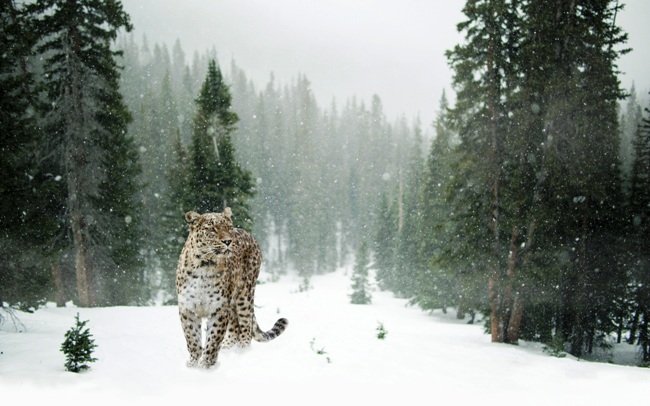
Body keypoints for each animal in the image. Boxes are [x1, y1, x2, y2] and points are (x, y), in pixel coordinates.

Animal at [176, 207, 288, 368]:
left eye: (228, 227)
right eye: (212, 229)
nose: (228, 241)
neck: (204, 266)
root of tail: (248, 234)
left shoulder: (219, 308)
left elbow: (213, 338)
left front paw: (206, 365)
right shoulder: (188, 308)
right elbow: (192, 338)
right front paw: (193, 363)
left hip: (245, 295)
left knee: (246, 326)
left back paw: (242, 352)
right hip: (233, 303)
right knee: (235, 328)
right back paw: (227, 348)